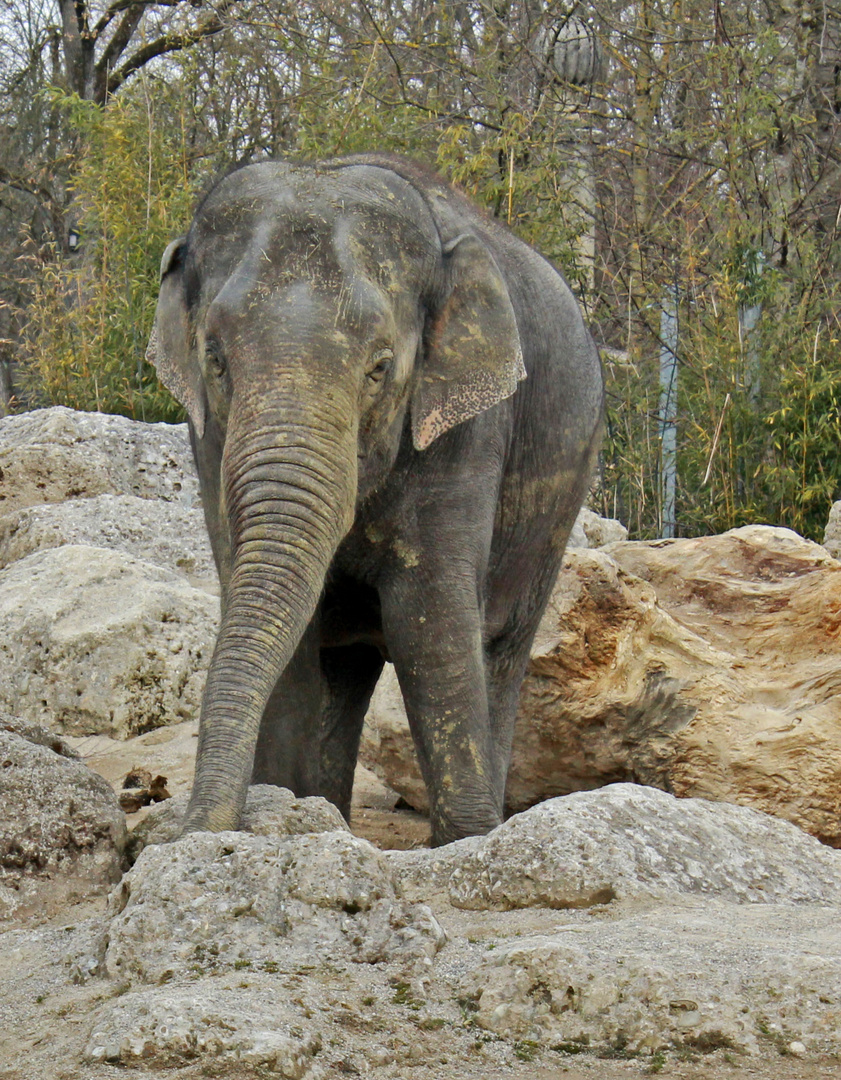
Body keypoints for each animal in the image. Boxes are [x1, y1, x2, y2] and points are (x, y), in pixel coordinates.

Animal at [146, 152, 604, 846]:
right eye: (216, 359)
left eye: (380, 367)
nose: (191, 832)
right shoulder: (209, 442)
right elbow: (290, 634)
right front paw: (287, 811)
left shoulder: (466, 431)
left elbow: (429, 621)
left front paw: (467, 843)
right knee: (345, 665)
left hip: (556, 504)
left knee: (499, 649)